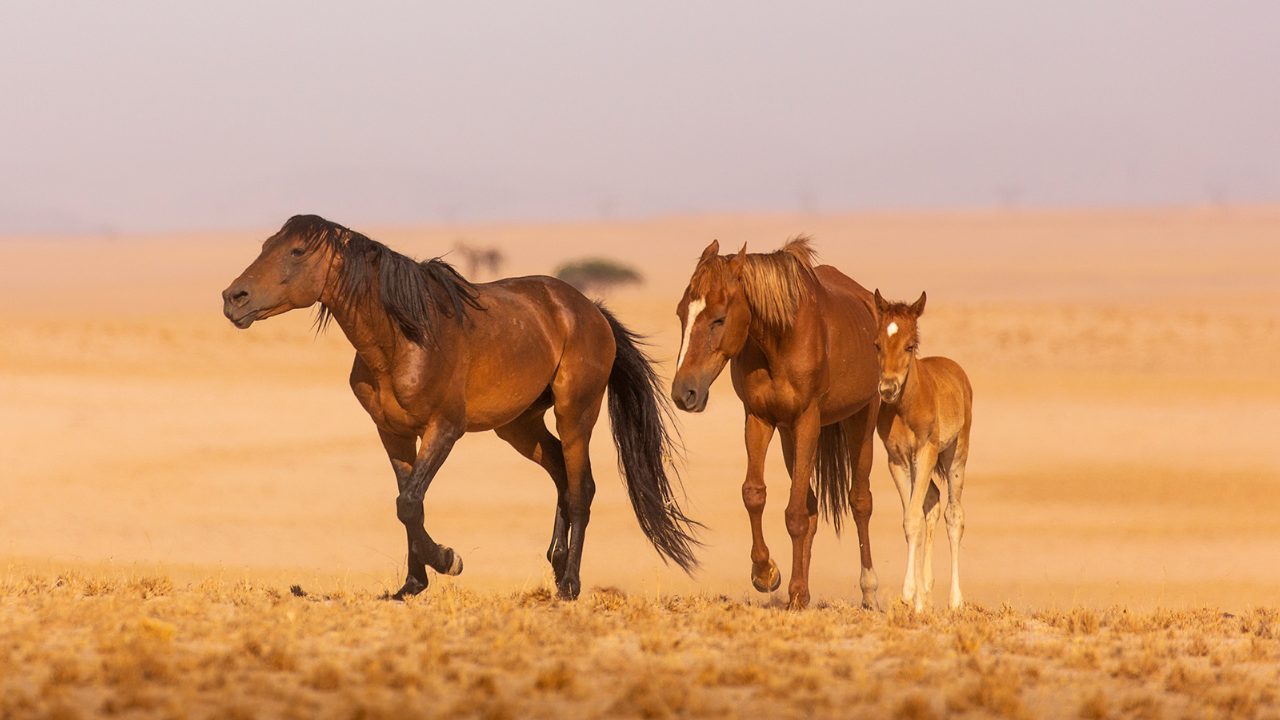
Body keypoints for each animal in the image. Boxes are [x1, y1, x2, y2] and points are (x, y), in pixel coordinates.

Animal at [222, 215, 701, 597]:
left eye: (297, 250)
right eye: (265, 245)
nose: (233, 298)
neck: (404, 338)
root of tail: (590, 310)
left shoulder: (444, 429)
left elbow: (409, 502)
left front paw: (447, 560)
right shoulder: (393, 433)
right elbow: (408, 502)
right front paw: (412, 584)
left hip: (575, 415)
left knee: (582, 488)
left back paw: (569, 584)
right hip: (519, 427)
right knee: (562, 478)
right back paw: (557, 561)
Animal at [670, 238, 880, 607]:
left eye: (719, 319)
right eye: (682, 313)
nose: (684, 393)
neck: (780, 340)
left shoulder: (808, 420)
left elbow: (794, 515)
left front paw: (789, 588)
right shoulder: (759, 418)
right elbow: (755, 494)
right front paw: (766, 573)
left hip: (861, 423)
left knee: (860, 501)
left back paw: (868, 591)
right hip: (788, 436)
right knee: (812, 505)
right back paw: (804, 591)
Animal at [875, 288, 972, 607]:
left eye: (909, 346)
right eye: (877, 344)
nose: (888, 389)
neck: (907, 408)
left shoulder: (926, 453)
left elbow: (915, 517)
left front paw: (909, 593)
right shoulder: (897, 461)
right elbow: (911, 518)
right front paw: (916, 598)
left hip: (956, 455)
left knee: (954, 515)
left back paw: (955, 600)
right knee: (933, 500)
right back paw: (927, 590)